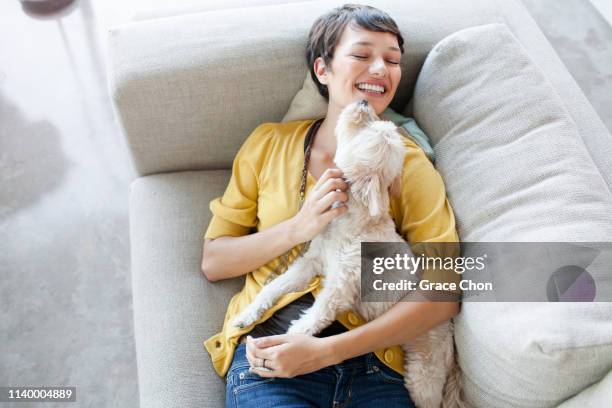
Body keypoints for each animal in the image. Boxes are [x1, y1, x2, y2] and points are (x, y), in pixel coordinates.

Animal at [232, 99, 462, 408]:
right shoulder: (311, 263)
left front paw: (289, 345)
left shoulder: (340, 288)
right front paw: (248, 314)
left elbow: (313, 318)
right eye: (373, 123)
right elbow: (275, 287)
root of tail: (449, 335)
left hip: (424, 372)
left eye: (366, 130)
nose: (363, 102)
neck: (352, 223)